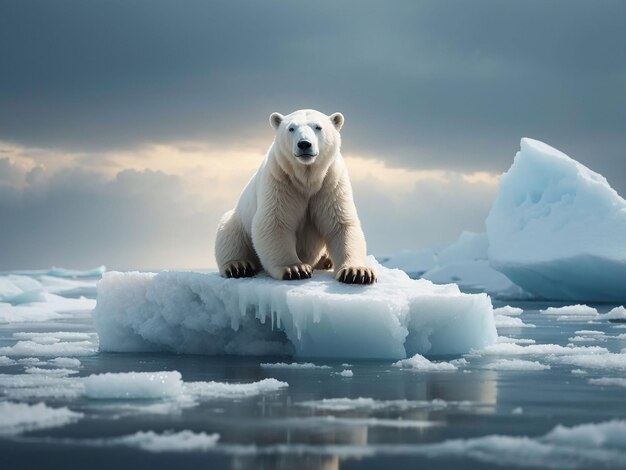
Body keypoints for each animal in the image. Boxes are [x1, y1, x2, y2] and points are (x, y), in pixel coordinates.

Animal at [213, 109, 376, 284]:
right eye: (291, 128)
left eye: (318, 127)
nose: (304, 144)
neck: (307, 180)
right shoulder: (280, 180)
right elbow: (274, 222)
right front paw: (295, 269)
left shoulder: (330, 183)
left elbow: (340, 223)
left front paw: (357, 272)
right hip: (239, 220)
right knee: (229, 233)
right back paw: (238, 266)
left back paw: (326, 260)